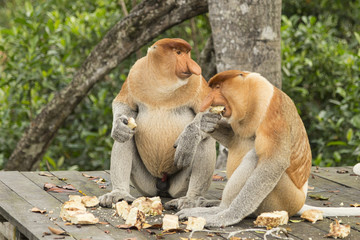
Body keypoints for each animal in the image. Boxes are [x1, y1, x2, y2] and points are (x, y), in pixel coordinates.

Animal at [97, 38, 217, 209]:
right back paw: (118, 194)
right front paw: (119, 127)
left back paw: (191, 199)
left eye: (187, 53)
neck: (163, 83)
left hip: (178, 186)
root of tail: (163, 188)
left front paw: (188, 138)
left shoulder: (197, 81)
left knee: (205, 140)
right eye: (178, 53)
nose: (194, 66)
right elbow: (124, 104)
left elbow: (209, 109)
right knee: (125, 140)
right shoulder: (135, 72)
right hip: (146, 185)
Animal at [176, 70, 360, 227]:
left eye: (218, 88)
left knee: (255, 157)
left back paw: (219, 209)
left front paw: (226, 216)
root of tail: (300, 202)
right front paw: (205, 123)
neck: (253, 96)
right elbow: (233, 138)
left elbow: (273, 162)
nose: (208, 100)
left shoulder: (274, 115)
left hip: (284, 199)